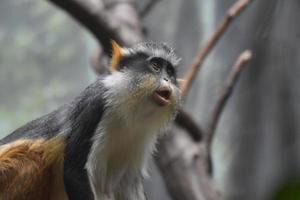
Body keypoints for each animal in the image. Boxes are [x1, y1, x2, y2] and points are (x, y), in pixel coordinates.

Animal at [0, 41, 180, 200]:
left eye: (169, 72)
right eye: (156, 66)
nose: (167, 80)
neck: (130, 108)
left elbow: (127, 183)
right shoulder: (96, 103)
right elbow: (74, 171)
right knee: (30, 162)